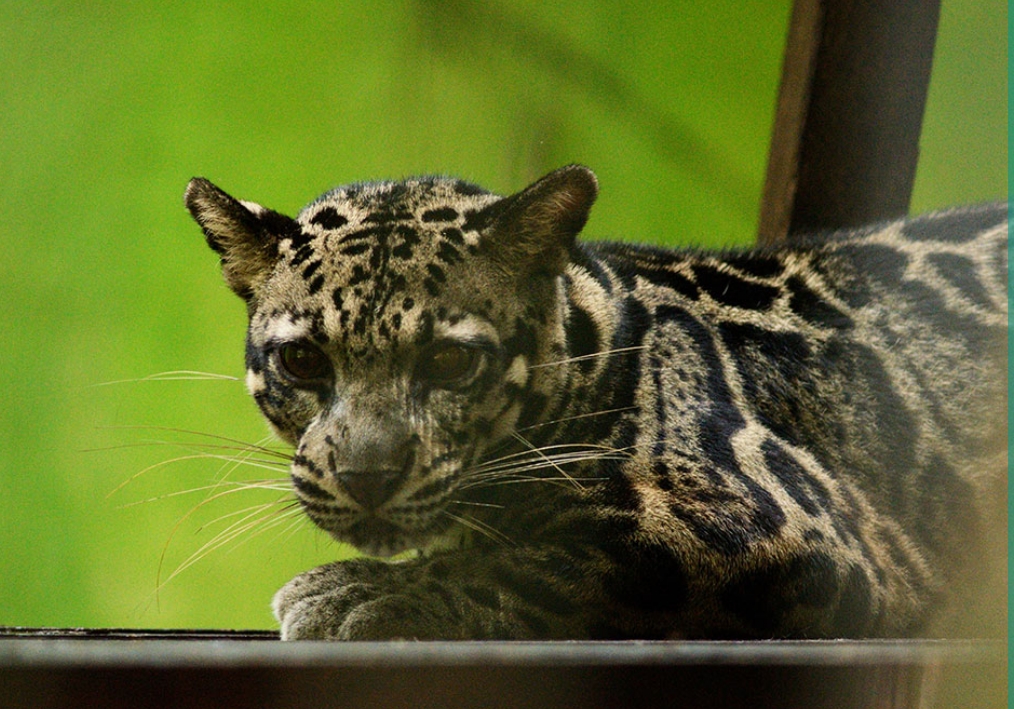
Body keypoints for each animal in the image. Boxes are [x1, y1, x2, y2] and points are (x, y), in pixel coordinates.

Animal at [184, 166, 1005, 645]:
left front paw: (355, 594)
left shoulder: (787, 520)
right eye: (303, 360)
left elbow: (563, 556)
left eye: (449, 362)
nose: (367, 476)